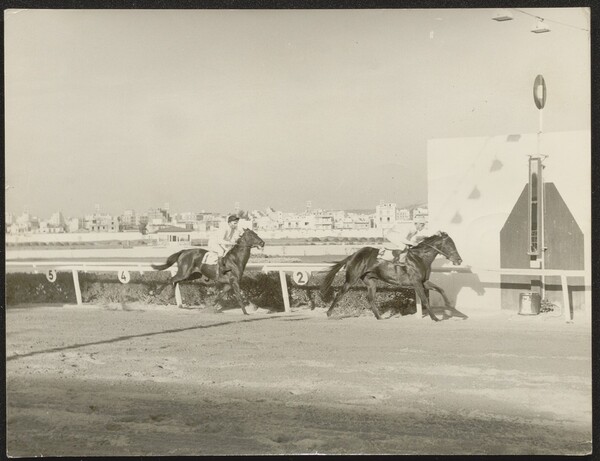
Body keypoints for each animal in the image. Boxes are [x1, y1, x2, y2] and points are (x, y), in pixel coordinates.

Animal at [322, 232, 462, 322]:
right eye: (450, 245)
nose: (459, 260)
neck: (420, 258)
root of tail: (353, 255)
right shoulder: (416, 282)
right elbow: (425, 300)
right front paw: (435, 318)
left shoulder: (424, 281)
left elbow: (441, 289)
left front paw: (450, 306)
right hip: (352, 278)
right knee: (340, 294)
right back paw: (329, 313)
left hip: (371, 281)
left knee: (370, 298)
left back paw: (379, 317)